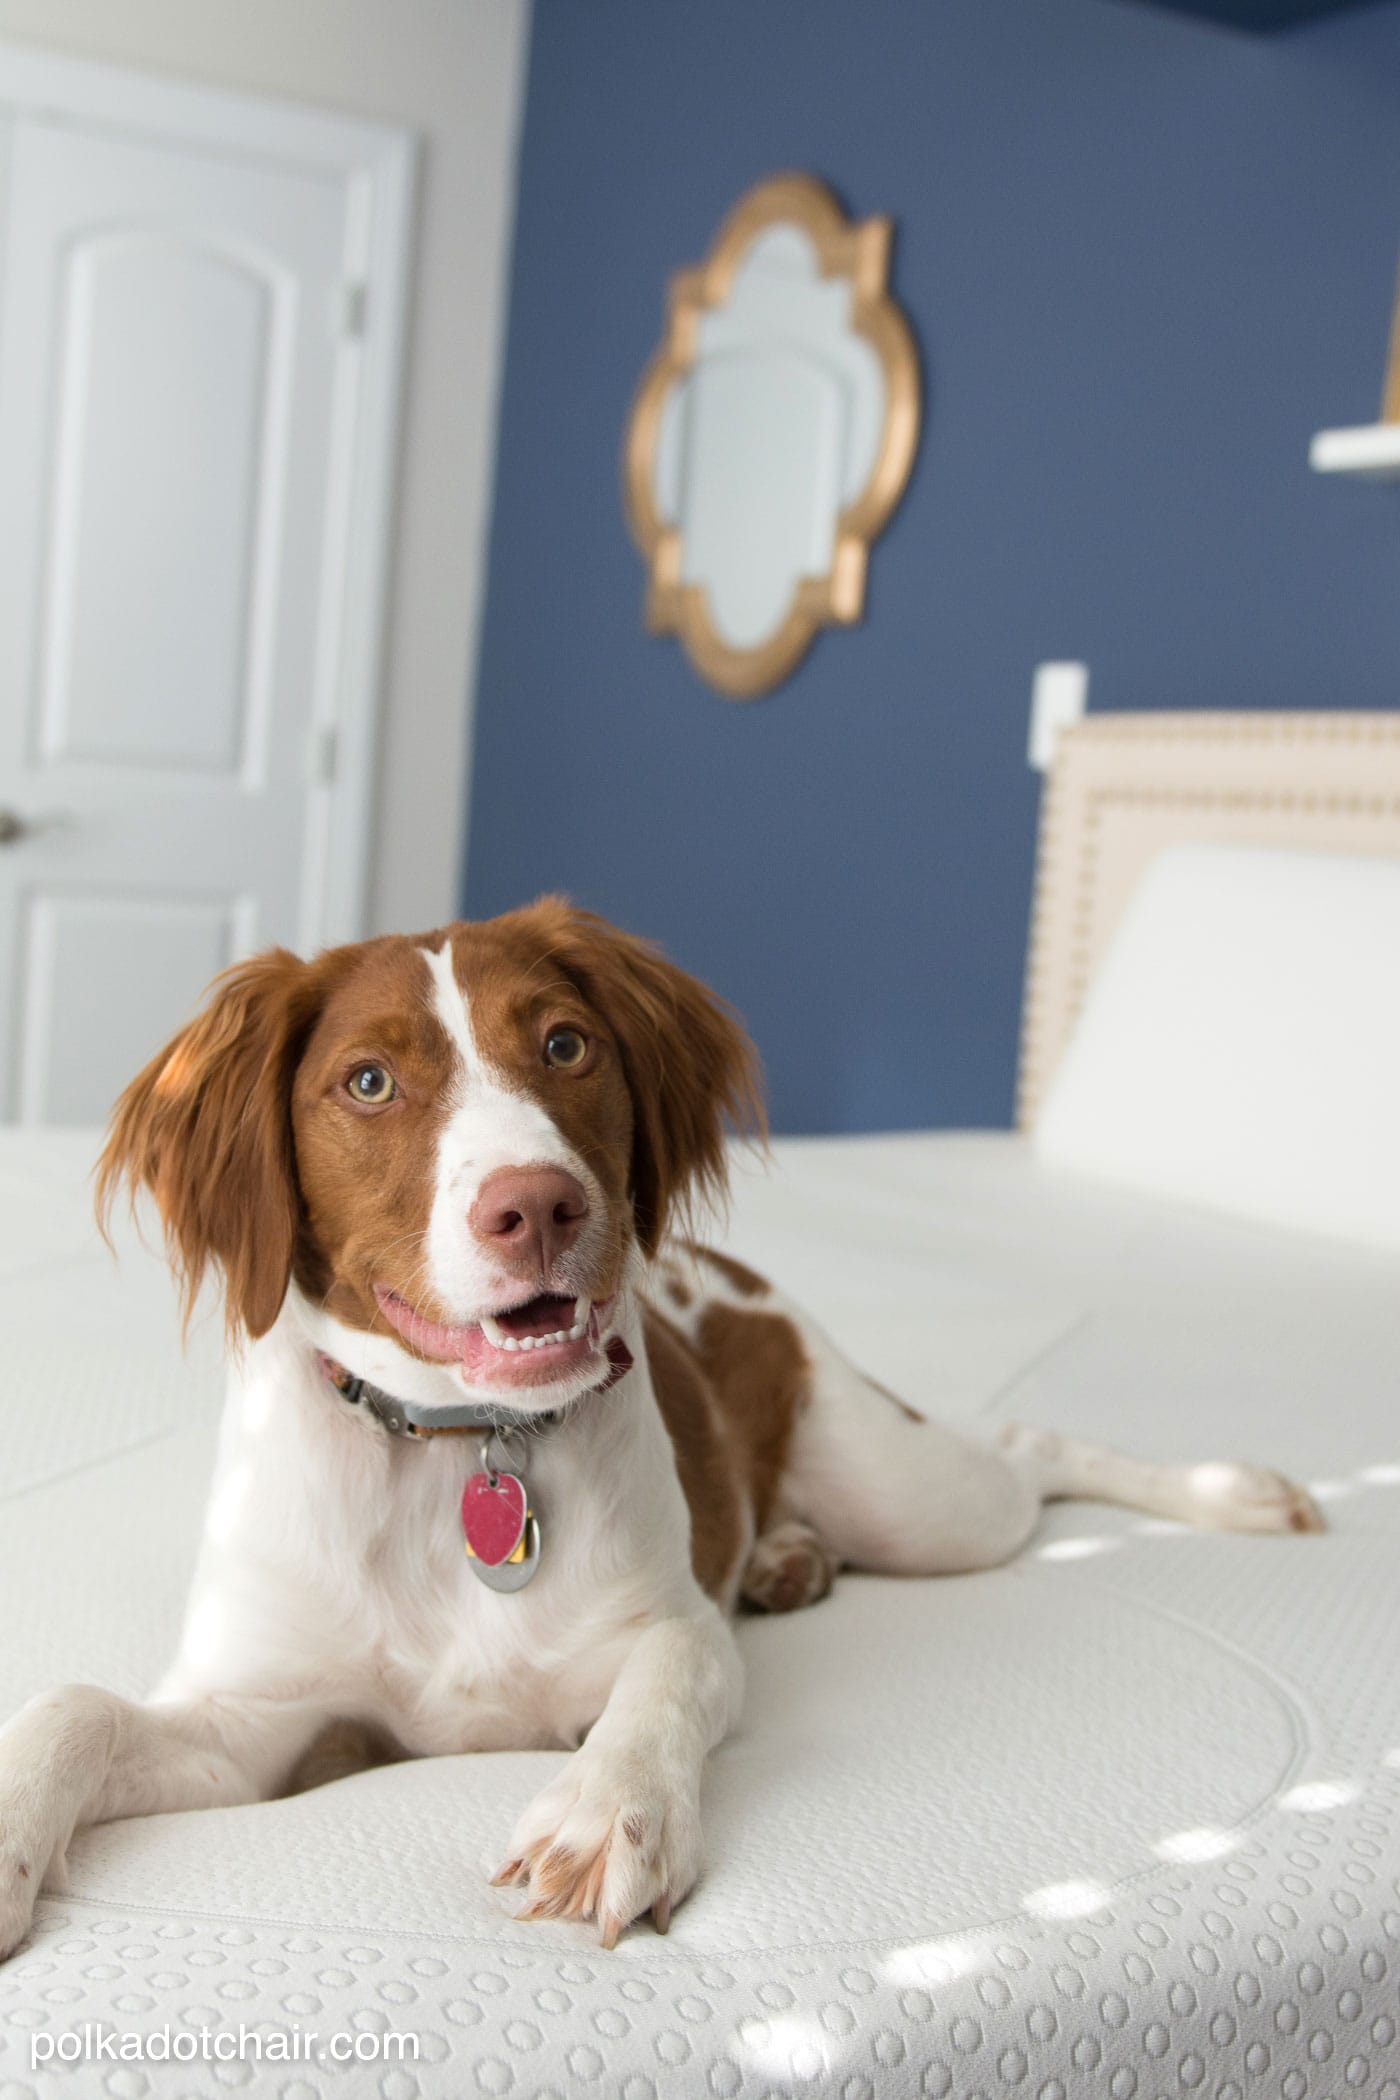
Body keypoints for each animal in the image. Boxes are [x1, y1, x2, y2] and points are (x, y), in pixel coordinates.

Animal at [0, 898, 1326, 1948]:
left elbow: (669, 1675)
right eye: (367, 1081)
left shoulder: (663, 1627)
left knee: (1023, 1450)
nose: (537, 1205)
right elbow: (75, 1705)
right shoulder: (260, 1726)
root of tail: (726, 1268)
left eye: (565, 1043)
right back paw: (788, 1555)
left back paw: (1233, 1492)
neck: (461, 1445)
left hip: (918, 1503)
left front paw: (604, 1816)